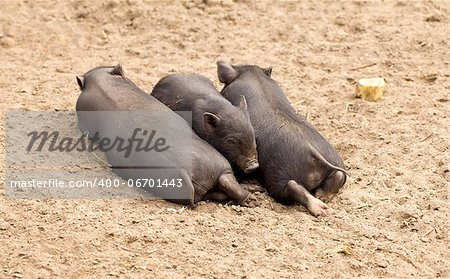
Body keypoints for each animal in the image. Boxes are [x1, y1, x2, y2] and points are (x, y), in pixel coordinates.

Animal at [218, 62, 348, 218]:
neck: (254, 75)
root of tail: (311, 150)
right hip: (335, 162)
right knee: (338, 176)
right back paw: (322, 198)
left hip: (278, 175)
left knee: (291, 187)